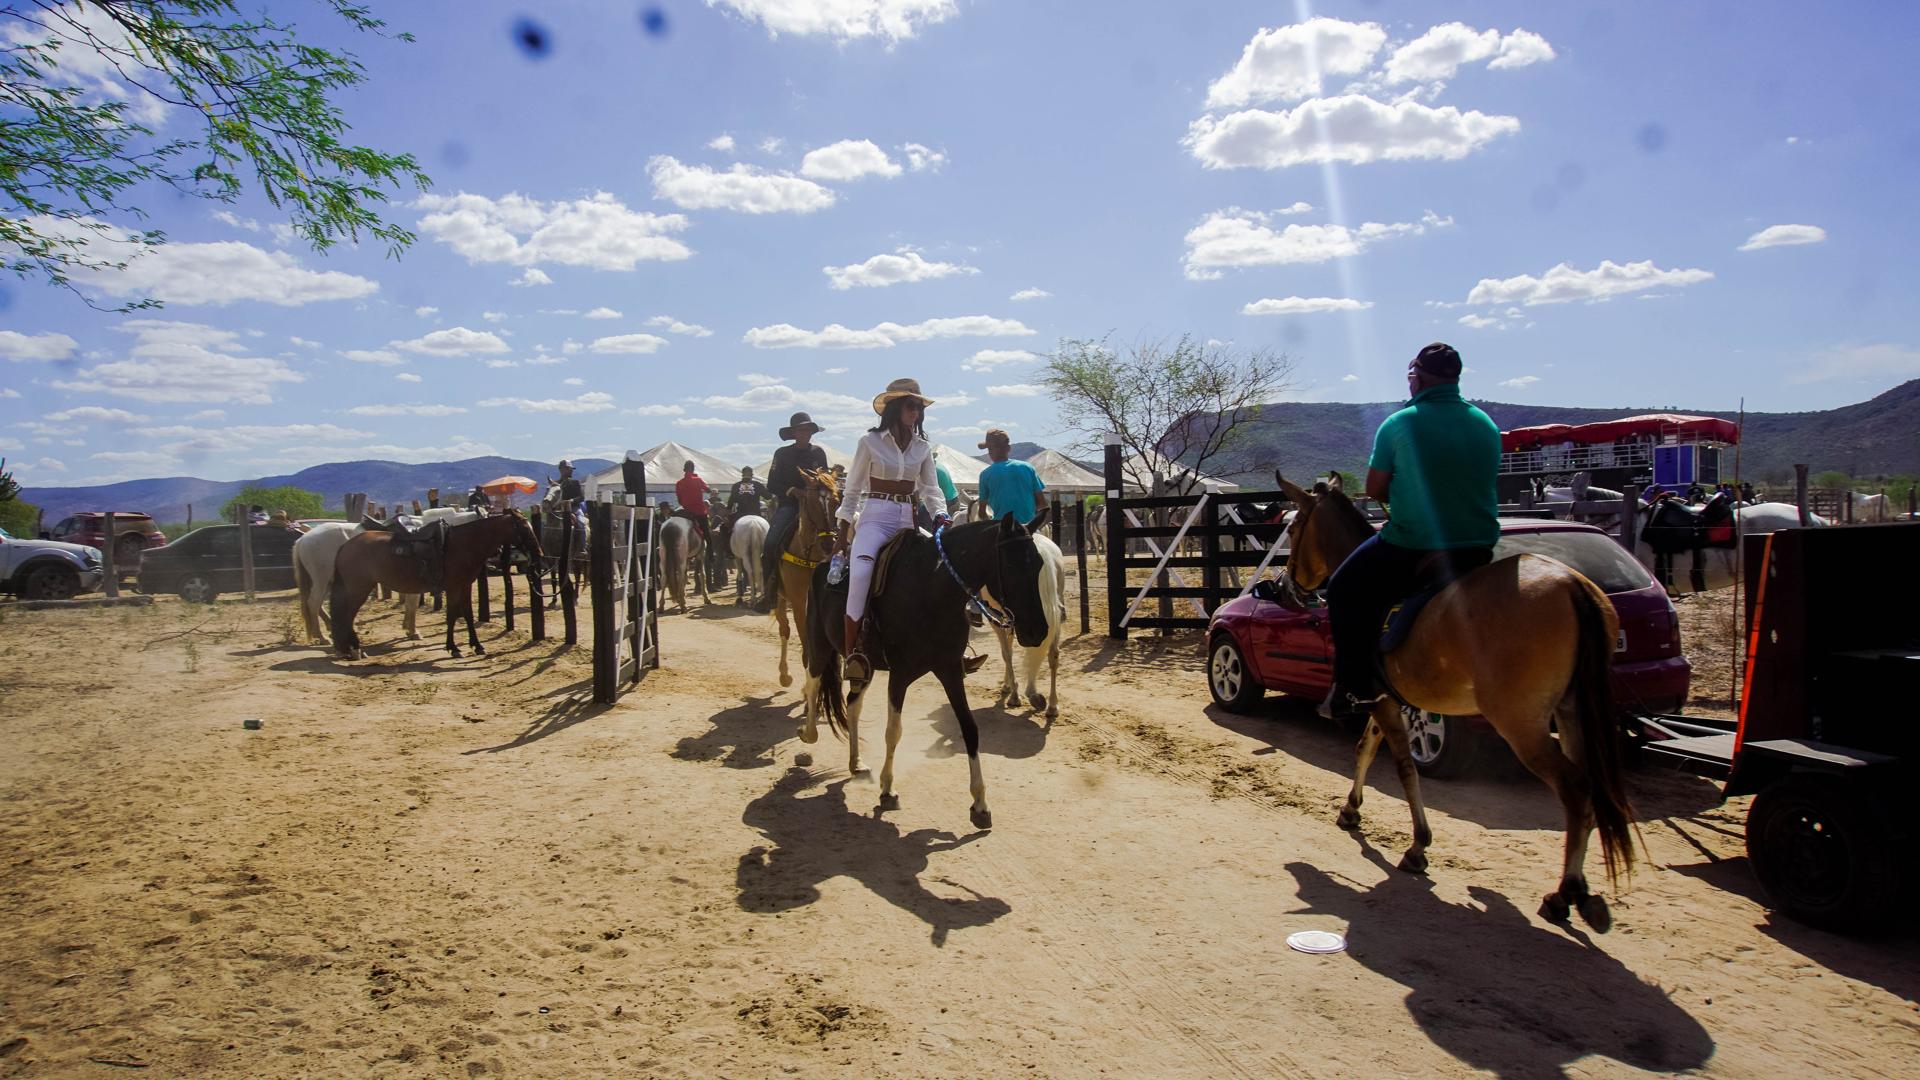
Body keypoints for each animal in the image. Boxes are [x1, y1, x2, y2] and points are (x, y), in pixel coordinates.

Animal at [330, 510, 542, 659]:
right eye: (524, 528)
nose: (538, 553)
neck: (462, 545)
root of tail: (345, 546)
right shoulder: (453, 588)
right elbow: (452, 616)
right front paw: (453, 648)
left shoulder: (465, 586)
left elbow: (467, 614)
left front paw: (477, 645)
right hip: (358, 590)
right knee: (347, 616)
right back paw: (355, 649)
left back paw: (349, 649)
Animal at [777, 468, 840, 695]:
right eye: (811, 503)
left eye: (836, 501)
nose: (828, 544)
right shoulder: (798, 602)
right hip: (779, 597)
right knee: (784, 629)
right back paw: (784, 675)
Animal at [801, 512, 1054, 830]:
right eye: (1011, 564)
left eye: (1039, 564)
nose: (1037, 632)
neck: (931, 591)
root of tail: (824, 564)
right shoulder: (899, 675)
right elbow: (893, 731)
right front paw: (888, 789)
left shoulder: (949, 670)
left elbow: (970, 729)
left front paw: (980, 803)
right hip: (820, 645)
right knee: (812, 683)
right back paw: (808, 733)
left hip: (864, 666)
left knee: (852, 704)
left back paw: (856, 763)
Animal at [983, 530, 1066, 717]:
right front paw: (1009, 686)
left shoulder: (997, 618)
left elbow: (1007, 653)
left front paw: (1013, 693)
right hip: (1056, 612)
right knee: (1053, 654)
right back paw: (1052, 704)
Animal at [1279, 473, 1634, 932]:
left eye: (1292, 529)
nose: (1286, 586)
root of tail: (1572, 586)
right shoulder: (1385, 697)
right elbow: (1365, 749)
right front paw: (1351, 809)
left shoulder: (1382, 700)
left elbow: (1403, 767)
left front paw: (1418, 846)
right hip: (1571, 711)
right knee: (1588, 788)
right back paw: (1580, 892)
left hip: (1521, 723)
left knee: (1575, 789)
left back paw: (1564, 894)